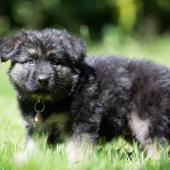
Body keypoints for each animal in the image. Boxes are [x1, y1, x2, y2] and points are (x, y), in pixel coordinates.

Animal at [0, 28, 170, 163]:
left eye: (55, 61)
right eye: (30, 60)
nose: (43, 79)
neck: (52, 102)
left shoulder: (83, 120)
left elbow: (79, 145)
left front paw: (77, 162)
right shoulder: (38, 127)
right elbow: (33, 145)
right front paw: (27, 160)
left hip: (146, 120)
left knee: (156, 144)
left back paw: (154, 163)